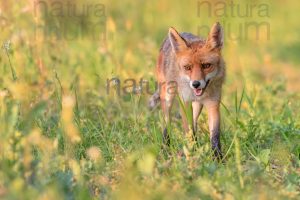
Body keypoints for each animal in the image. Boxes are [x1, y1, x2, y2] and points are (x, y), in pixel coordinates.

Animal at [148, 22, 225, 159]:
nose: (195, 84)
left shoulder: (213, 103)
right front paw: (192, 153)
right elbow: (188, 129)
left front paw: (218, 158)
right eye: (187, 67)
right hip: (167, 97)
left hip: (197, 106)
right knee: (166, 123)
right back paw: (165, 147)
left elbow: (215, 135)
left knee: (194, 122)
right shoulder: (185, 102)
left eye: (206, 66)